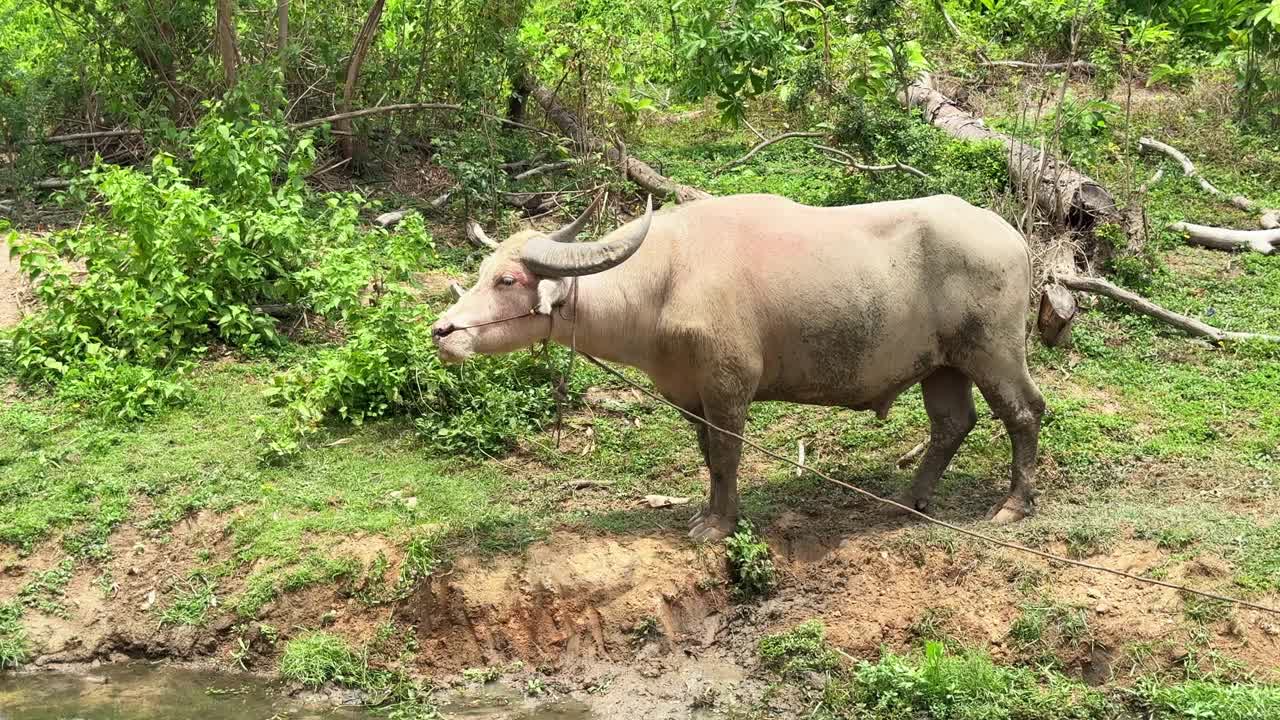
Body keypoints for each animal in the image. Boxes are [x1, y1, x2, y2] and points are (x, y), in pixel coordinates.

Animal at [435, 190, 1044, 538]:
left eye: (507, 280)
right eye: (483, 271)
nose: (442, 332)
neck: (665, 281)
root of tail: (1012, 237)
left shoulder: (730, 385)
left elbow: (727, 457)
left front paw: (720, 525)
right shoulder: (690, 394)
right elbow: (709, 457)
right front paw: (709, 513)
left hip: (994, 351)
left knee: (1024, 411)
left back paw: (1014, 505)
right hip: (944, 365)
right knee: (952, 423)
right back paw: (909, 501)